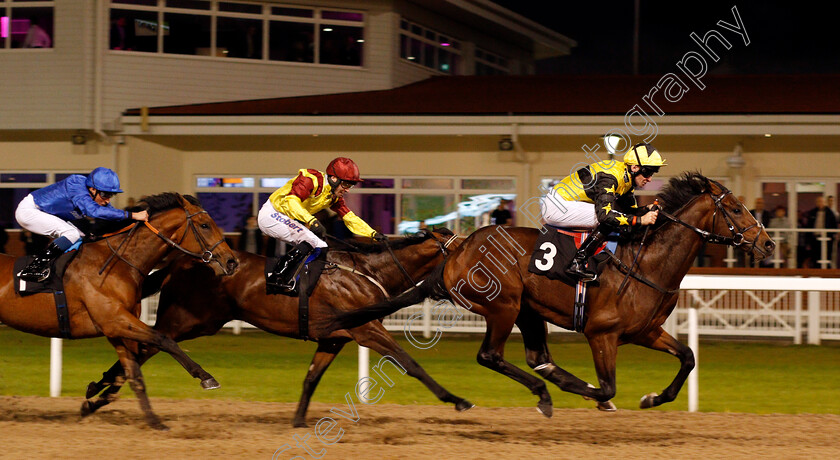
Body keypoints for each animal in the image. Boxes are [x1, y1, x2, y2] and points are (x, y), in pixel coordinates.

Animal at [0, 192, 238, 430]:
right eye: (205, 225)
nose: (232, 262)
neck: (119, 264)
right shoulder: (115, 320)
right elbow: (164, 339)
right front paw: (206, 377)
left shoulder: (116, 329)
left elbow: (133, 374)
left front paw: (153, 420)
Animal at [83, 228, 480, 426]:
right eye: (466, 249)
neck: (368, 272)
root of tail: (183, 262)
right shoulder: (367, 330)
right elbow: (410, 363)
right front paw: (458, 400)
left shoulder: (334, 338)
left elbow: (310, 378)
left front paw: (299, 421)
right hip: (187, 320)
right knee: (147, 344)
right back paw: (100, 392)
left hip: (198, 321)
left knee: (142, 347)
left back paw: (97, 393)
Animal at [322, 173, 776, 416]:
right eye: (736, 209)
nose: (768, 244)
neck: (647, 264)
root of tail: (460, 245)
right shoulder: (602, 334)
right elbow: (607, 388)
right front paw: (599, 397)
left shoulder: (645, 331)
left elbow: (688, 357)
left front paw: (652, 398)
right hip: (502, 306)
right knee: (490, 356)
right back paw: (544, 393)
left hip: (528, 310)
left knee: (537, 357)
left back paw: (551, 385)